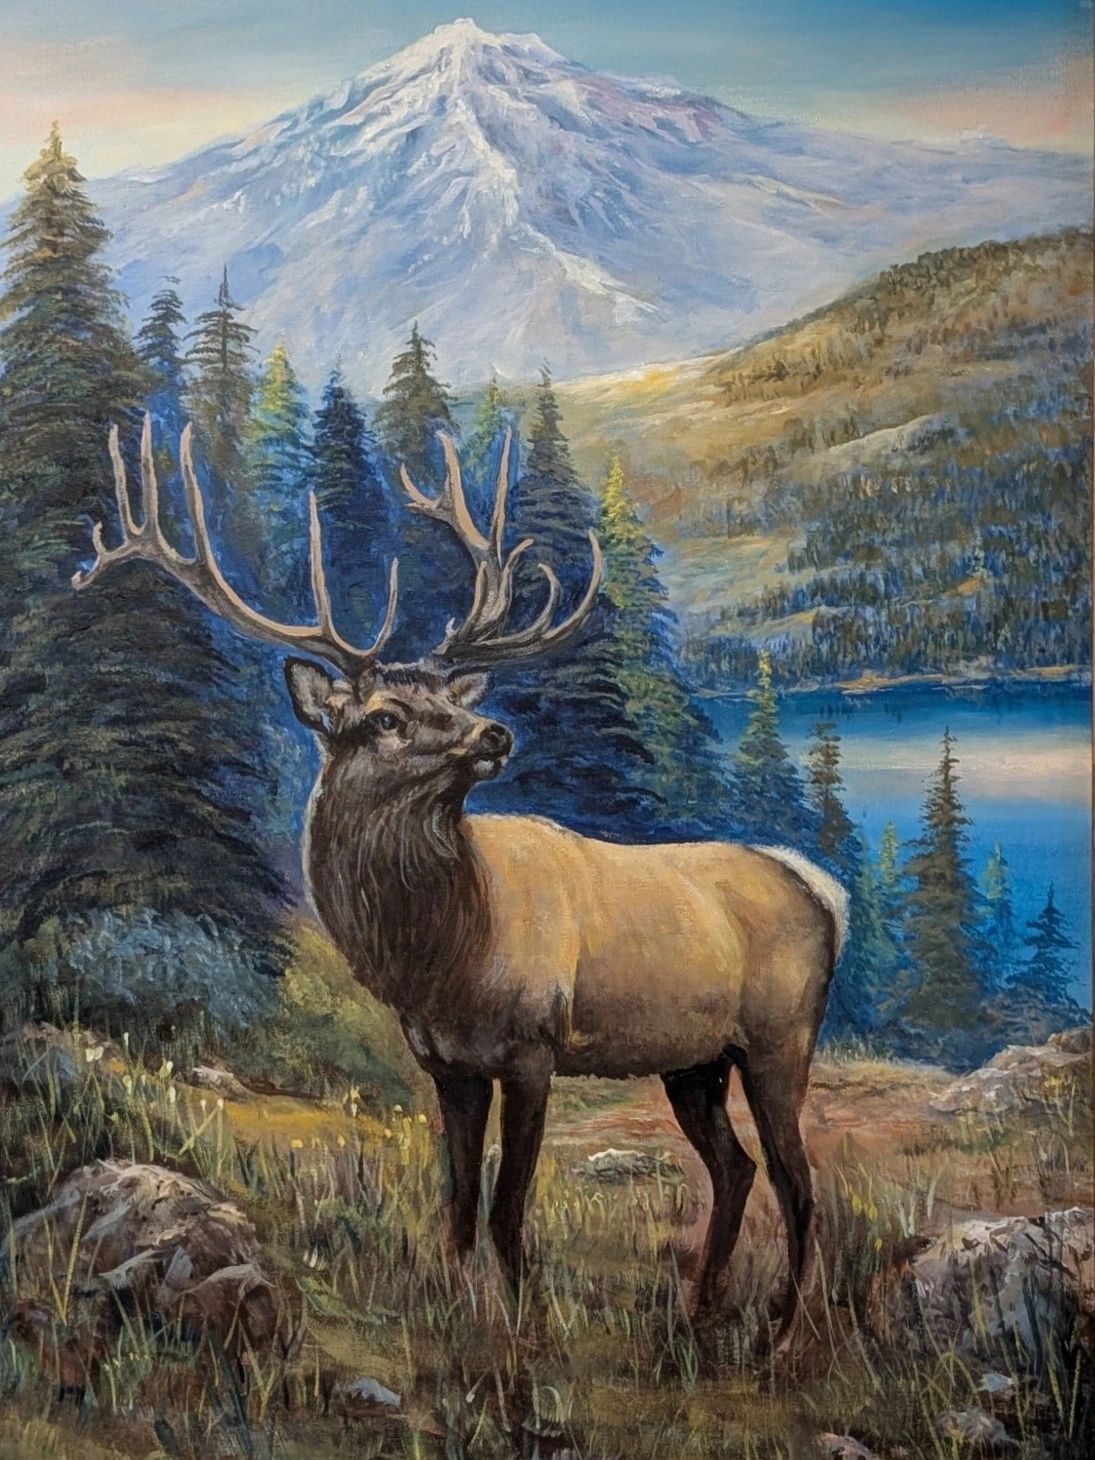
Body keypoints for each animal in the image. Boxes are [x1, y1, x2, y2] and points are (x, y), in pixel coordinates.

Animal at [74, 414, 847, 1348]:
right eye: (383, 716)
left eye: (453, 698)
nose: (493, 732)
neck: (441, 954)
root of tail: (823, 890)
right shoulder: (445, 1062)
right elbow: (456, 1202)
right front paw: (448, 1308)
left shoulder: (533, 1045)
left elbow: (509, 1206)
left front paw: (528, 1325)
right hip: (694, 1059)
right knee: (736, 1169)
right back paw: (700, 1308)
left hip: (779, 1034)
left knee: (798, 1183)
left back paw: (778, 1327)